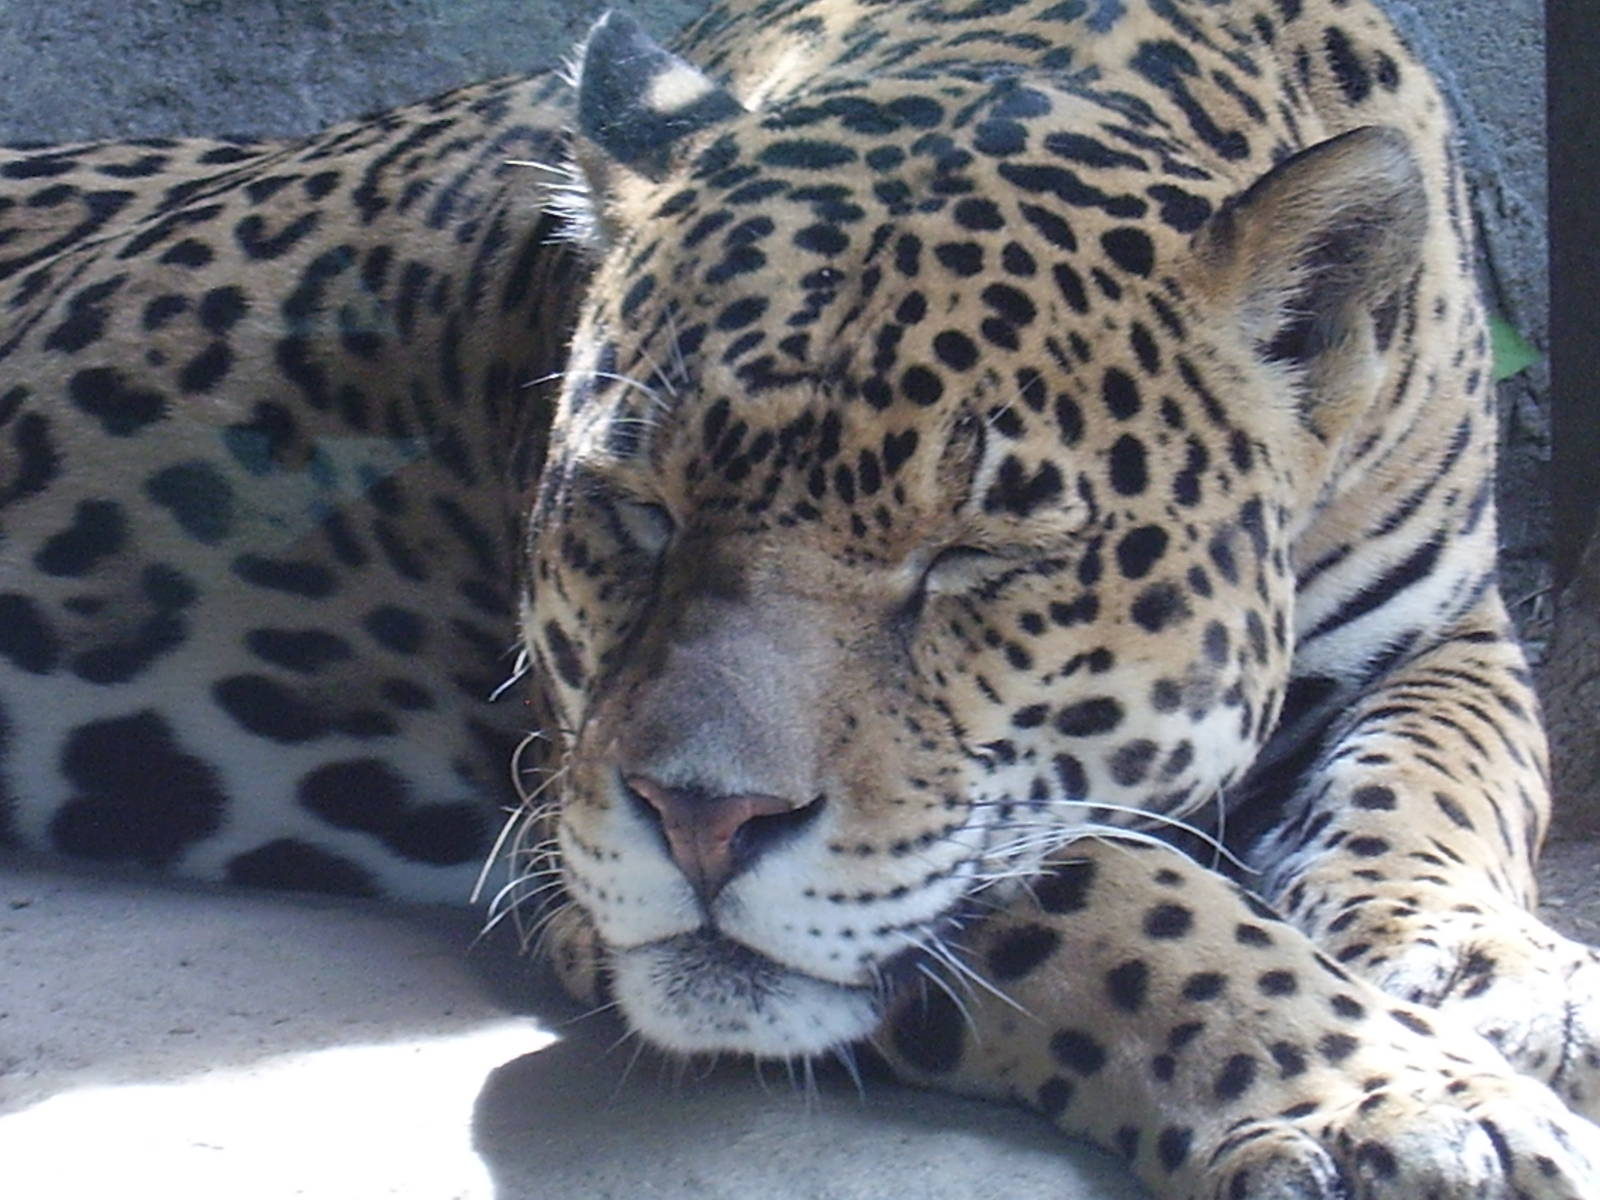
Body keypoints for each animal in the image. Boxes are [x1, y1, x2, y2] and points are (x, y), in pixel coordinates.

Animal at [2, 1, 1597, 1196]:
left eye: (976, 554)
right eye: (639, 511)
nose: (701, 824)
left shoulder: (1445, 620)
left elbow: (1448, 775)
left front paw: (1474, 958)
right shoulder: (564, 801)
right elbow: (1113, 901)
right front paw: (1391, 1094)